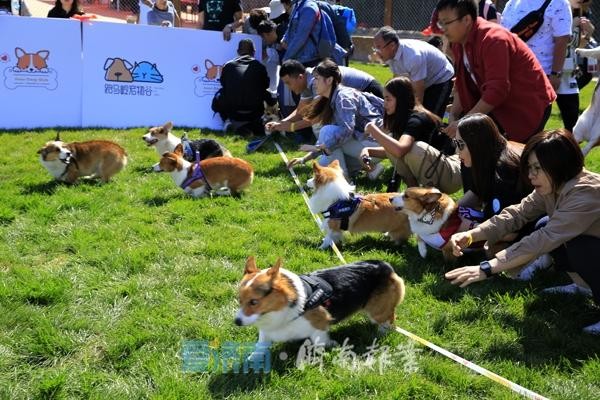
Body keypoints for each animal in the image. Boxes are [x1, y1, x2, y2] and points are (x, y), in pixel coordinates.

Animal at [237, 256, 406, 346]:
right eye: (239, 300)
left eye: (254, 302)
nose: (236, 322)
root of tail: (385, 265)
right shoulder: (266, 332)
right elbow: (261, 344)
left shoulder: (320, 324)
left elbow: (320, 342)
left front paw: (331, 347)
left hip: (378, 311)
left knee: (390, 318)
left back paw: (381, 332)